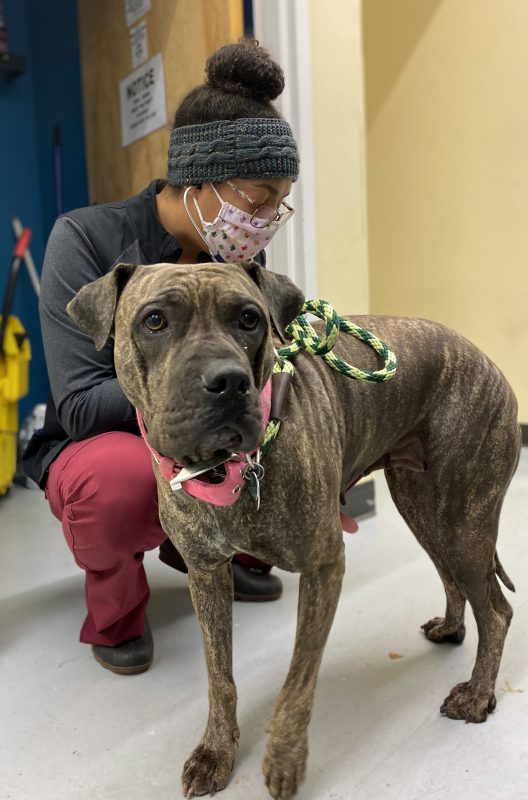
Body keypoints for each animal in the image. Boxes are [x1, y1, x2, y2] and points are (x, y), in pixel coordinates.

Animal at [67, 262, 520, 800]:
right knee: (453, 578)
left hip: (462, 517)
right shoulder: (206, 574)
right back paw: (452, 629)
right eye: (154, 320)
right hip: (423, 506)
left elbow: (298, 680)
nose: (228, 382)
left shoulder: (324, 567)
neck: (228, 471)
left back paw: (478, 694)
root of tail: (487, 360)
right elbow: (219, 675)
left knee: (496, 609)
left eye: (249, 318)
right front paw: (217, 751)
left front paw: (285, 760)